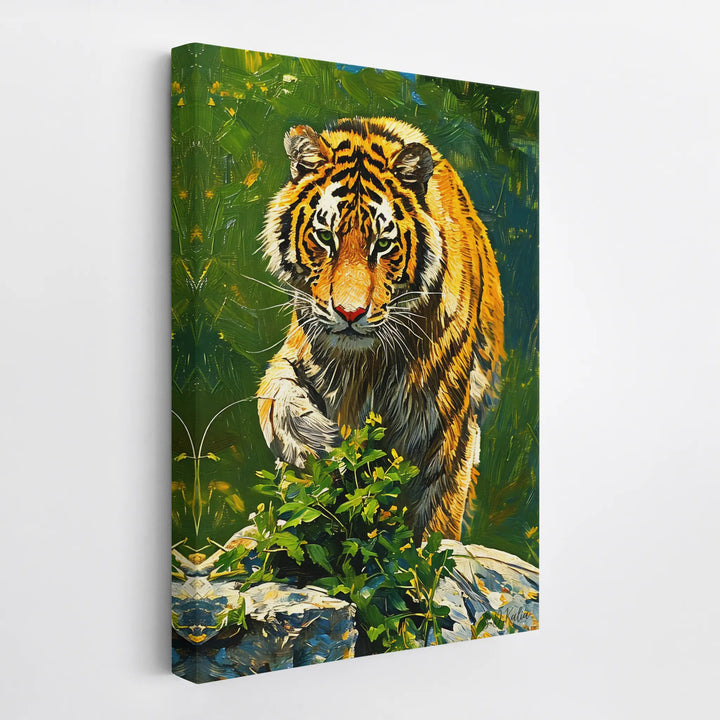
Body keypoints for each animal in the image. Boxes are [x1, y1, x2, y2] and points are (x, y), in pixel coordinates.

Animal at [257, 117, 504, 541]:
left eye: (383, 244)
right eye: (326, 236)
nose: (349, 312)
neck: (363, 363)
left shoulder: (447, 415)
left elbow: (437, 510)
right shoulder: (298, 352)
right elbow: (274, 397)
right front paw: (318, 443)